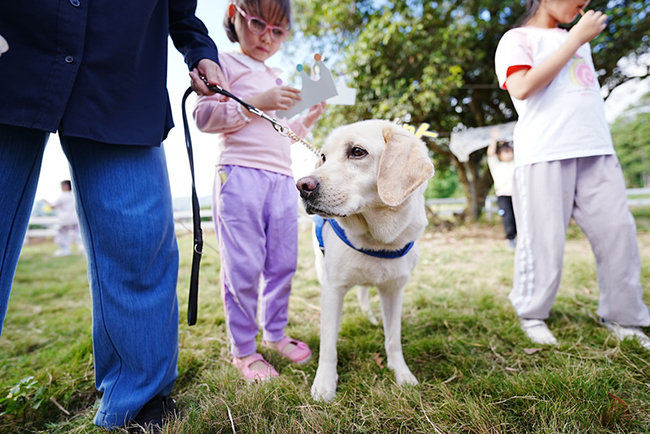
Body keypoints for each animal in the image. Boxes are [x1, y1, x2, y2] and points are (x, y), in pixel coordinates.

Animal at [296, 118, 432, 400]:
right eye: (323, 157)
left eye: (357, 152)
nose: (302, 186)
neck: (376, 240)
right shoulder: (333, 289)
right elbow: (328, 344)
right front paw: (325, 383)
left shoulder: (394, 290)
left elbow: (393, 338)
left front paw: (402, 373)